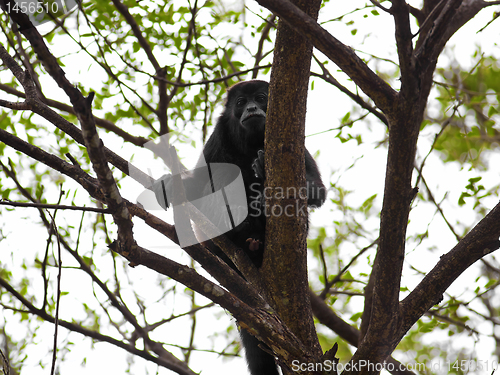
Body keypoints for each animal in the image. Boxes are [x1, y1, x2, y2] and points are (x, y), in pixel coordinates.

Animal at [151, 81, 324, 375]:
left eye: (262, 98)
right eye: (241, 102)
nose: (252, 108)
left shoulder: (296, 145)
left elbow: (316, 189)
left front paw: (264, 174)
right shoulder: (217, 137)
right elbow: (198, 183)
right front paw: (171, 184)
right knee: (222, 175)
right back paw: (239, 229)